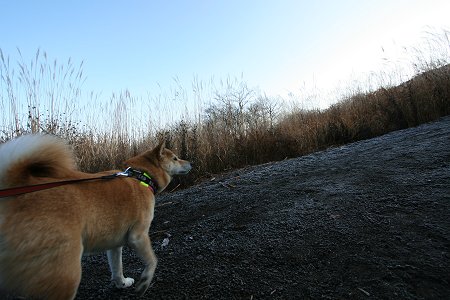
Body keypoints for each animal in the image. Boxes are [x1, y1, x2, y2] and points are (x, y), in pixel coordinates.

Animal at [0, 134, 192, 300]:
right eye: (175, 158)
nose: (190, 162)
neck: (141, 176)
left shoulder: (114, 244)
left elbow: (117, 268)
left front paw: (122, 283)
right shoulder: (138, 236)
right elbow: (152, 261)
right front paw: (144, 282)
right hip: (67, 273)